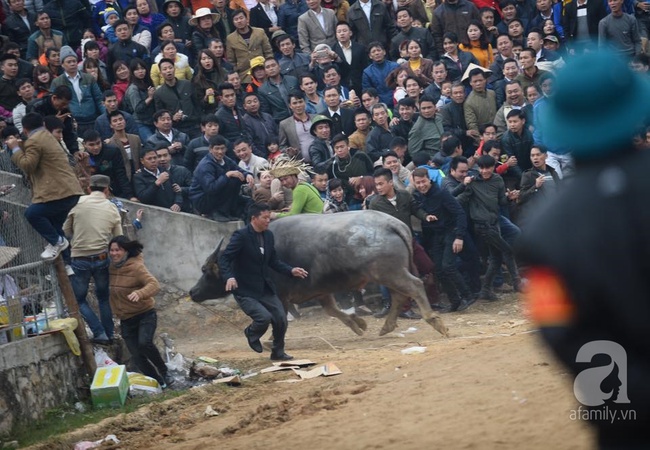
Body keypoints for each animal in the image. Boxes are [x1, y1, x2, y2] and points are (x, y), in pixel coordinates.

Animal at [190, 211, 448, 338]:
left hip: (390, 273)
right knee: (399, 296)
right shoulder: (320, 290)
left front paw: (273, 339)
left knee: (414, 287)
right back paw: (386, 327)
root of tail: (393, 224)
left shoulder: (281, 295)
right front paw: (358, 324)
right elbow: (332, 310)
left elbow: (280, 316)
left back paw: (435, 321)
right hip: (390, 274)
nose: (193, 292)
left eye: (205, 270)